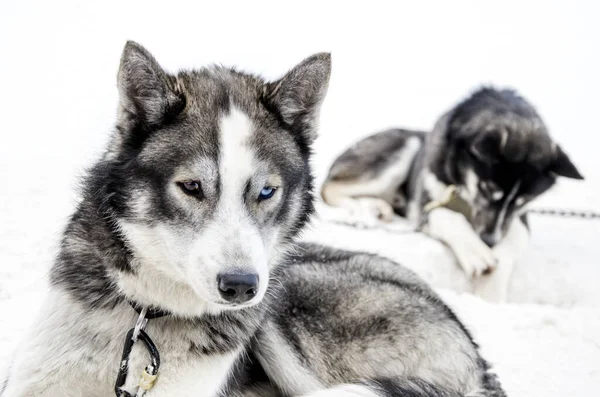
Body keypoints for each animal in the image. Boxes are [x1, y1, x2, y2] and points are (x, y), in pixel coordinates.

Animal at [1, 41, 506, 394]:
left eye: (266, 191)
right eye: (191, 186)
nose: (241, 286)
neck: (145, 317)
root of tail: (477, 357)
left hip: (289, 315)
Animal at [322, 87, 584, 300]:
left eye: (524, 200)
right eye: (487, 188)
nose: (489, 240)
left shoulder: (519, 220)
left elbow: (509, 245)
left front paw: (490, 290)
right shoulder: (429, 205)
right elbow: (448, 216)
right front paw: (476, 253)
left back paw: (378, 207)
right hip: (403, 152)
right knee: (329, 188)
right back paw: (362, 210)